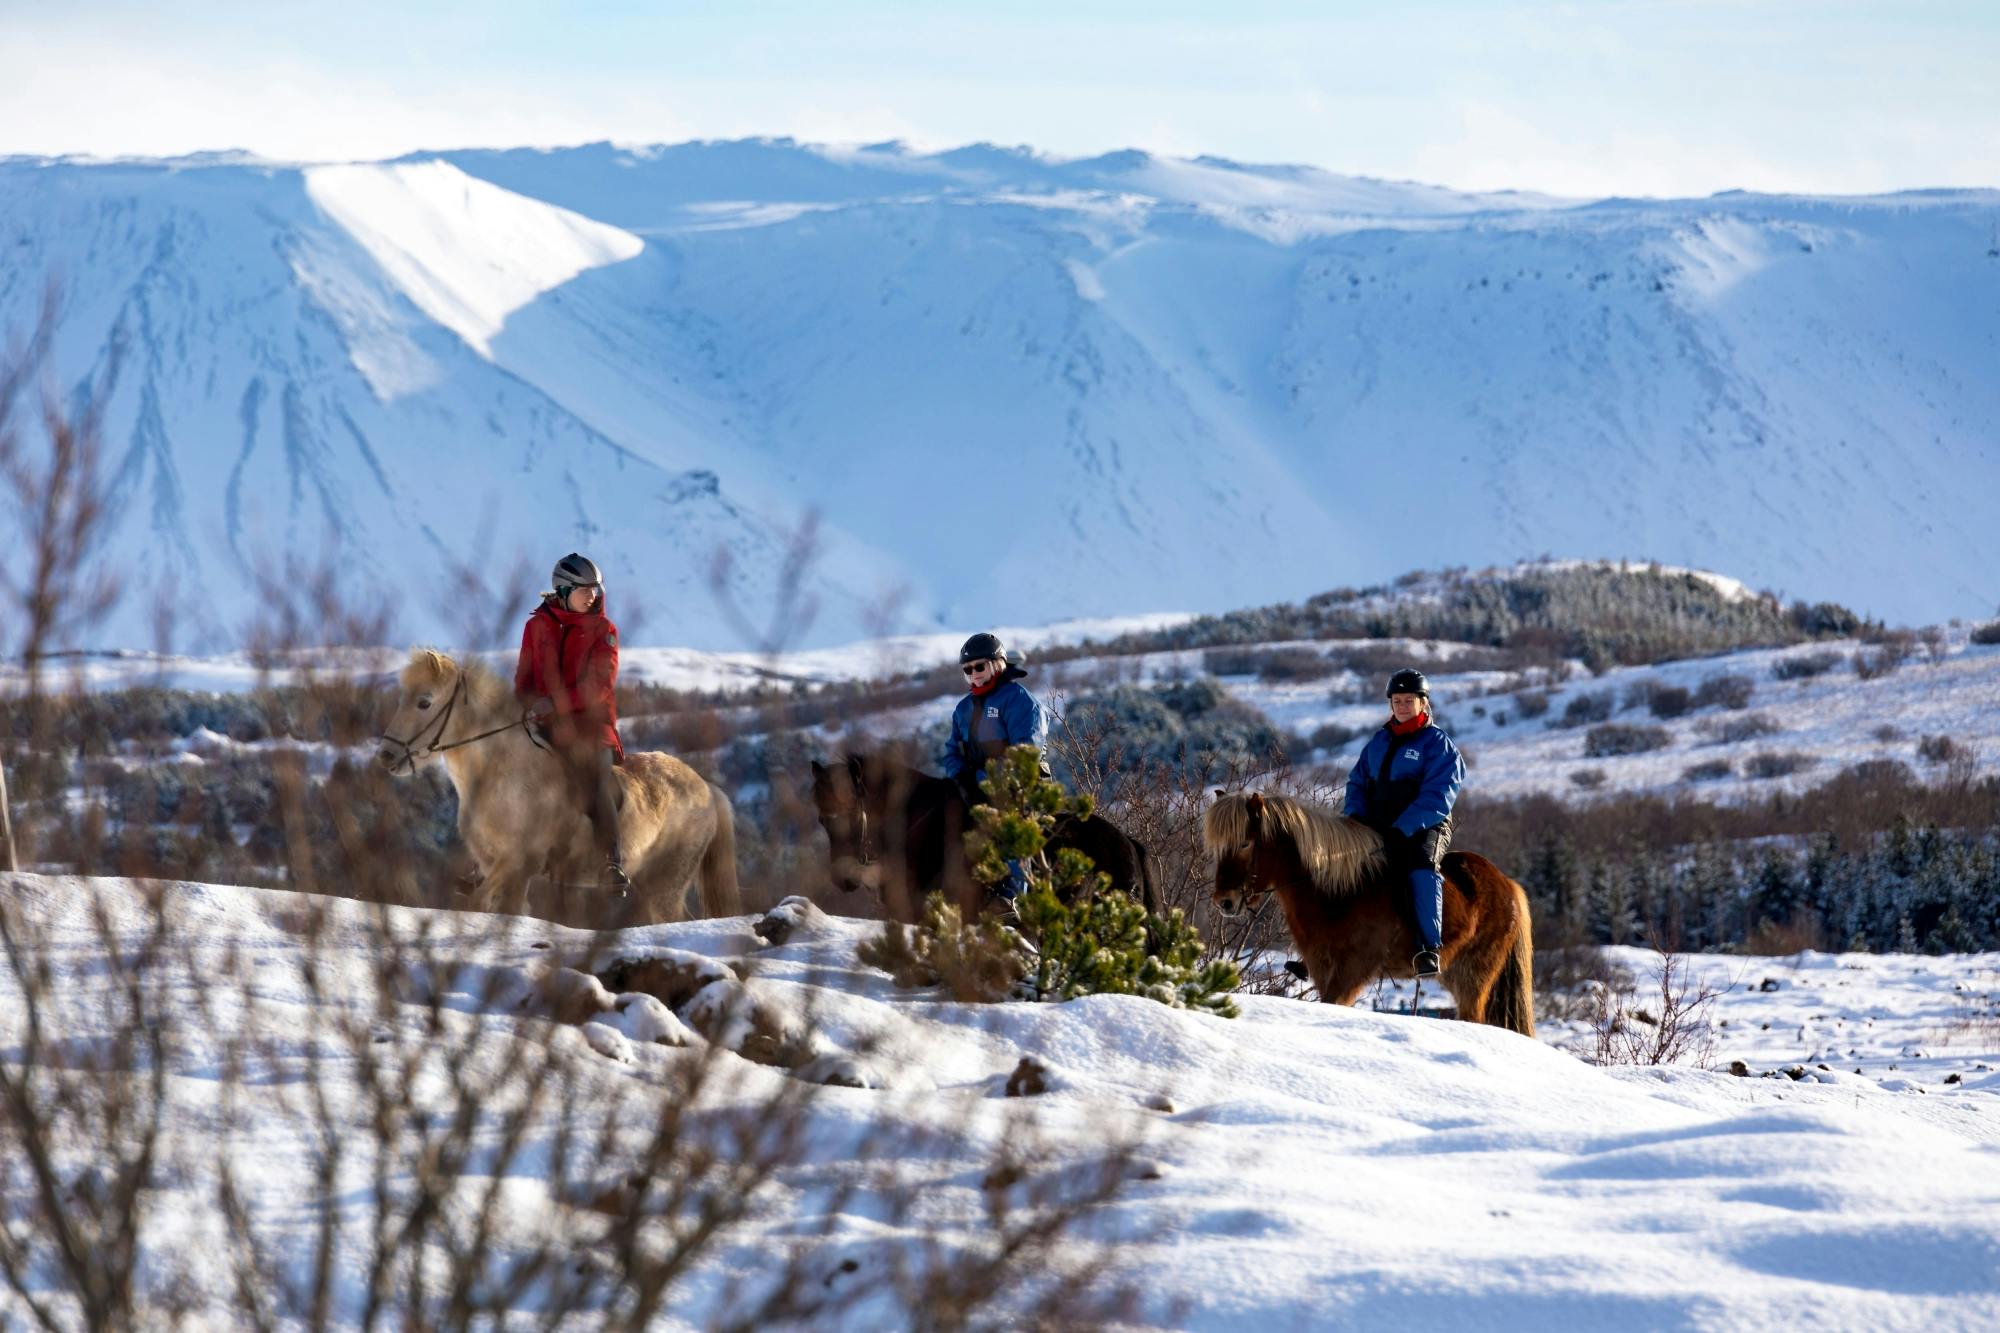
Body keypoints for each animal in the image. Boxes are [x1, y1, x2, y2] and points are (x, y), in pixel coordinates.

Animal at [376, 649, 741, 928]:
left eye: (424, 702)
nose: (386, 756)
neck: (500, 774)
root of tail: (708, 790)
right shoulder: (500, 867)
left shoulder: (517, 862)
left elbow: (480, 904)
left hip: (667, 882)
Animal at [1205, 790, 1534, 1036]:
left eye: (1245, 843)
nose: (1224, 902)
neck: (1342, 892)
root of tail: (1508, 886)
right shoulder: (1323, 967)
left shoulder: (1353, 970)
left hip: (1473, 976)